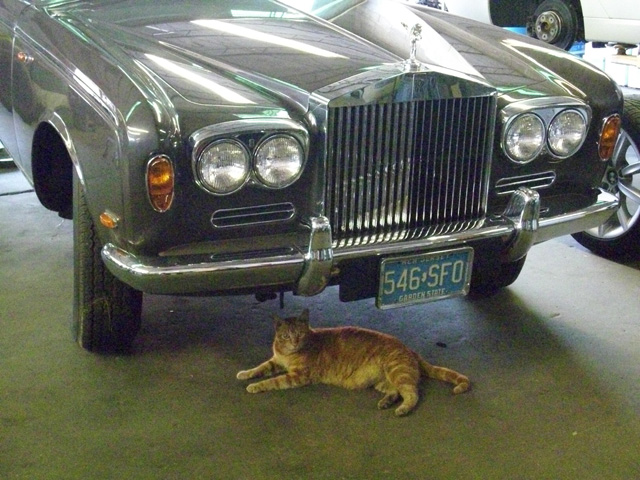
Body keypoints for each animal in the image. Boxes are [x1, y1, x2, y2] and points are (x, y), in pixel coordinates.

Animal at [236, 310, 470, 414]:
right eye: (285, 336)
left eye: (299, 334)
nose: (294, 342)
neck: (288, 354)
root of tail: (409, 348)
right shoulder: (275, 361)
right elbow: (260, 368)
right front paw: (246, 374)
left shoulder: (298, 375)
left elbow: (272, 381)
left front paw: (255, 386)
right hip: (382, 381)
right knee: (396, 391)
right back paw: (386, 402)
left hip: (397, 372)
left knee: (412, 393)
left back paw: (402, 409)